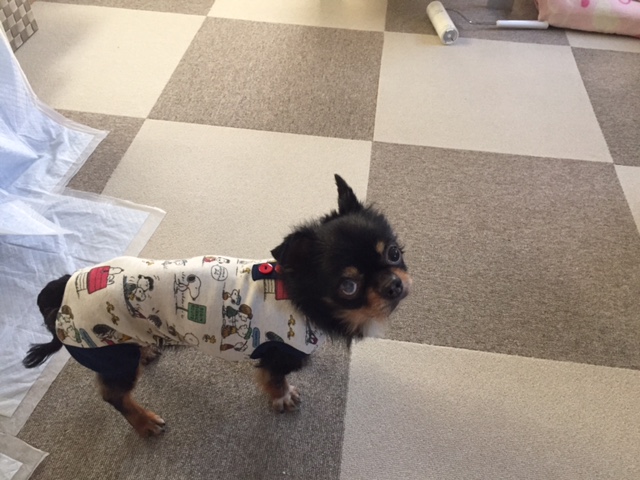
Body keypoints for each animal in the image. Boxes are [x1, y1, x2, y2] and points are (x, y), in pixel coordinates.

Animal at [23, 175, 411, 437]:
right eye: (349, 286)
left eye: (394, 253)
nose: (394, 285)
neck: (297, 296)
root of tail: (61, 291)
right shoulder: (277, 354)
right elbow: (274, 380)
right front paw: (283, 399)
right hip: (113, 359)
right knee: (112, 395)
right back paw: (145, 422)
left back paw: (147, 350)